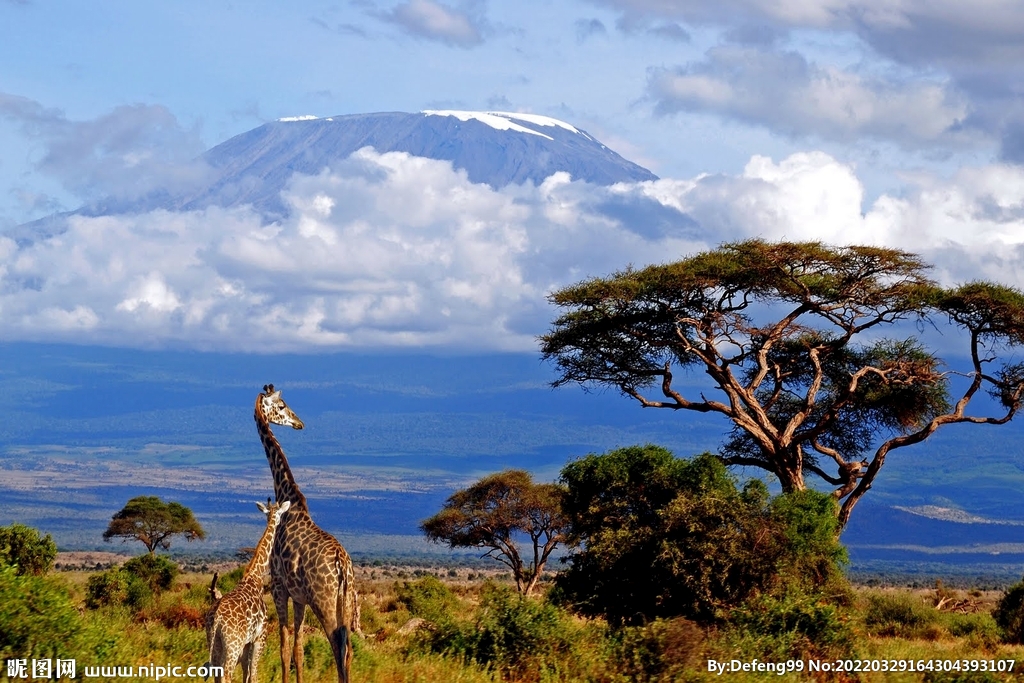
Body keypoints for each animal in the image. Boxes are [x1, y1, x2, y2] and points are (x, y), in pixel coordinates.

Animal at [203, 497, 290, 683]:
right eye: (279, 515)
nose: (278, 523)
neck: (255, 576)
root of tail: (216, 618)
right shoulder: (259, 637)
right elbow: (254, 674)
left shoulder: (247, 642)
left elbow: (246, 674)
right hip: (233, 644)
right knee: (226, 674)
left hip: (214, 641)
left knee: (217, 674)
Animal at [253, 385, 358, 683]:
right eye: (282, 406)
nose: (299, 423)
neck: (288, 496)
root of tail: (342, 564)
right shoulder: (299, 597)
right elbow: (298, 649)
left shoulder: (279, 587)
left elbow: (284, 647)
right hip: (346, 600)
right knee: (348, 650)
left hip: (324, 602)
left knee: (338, 646)